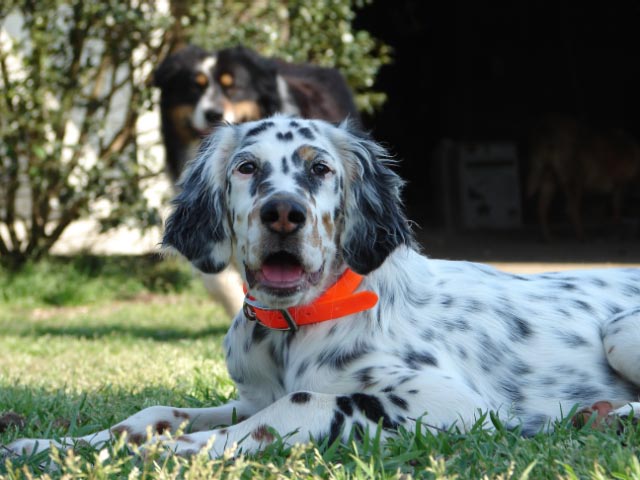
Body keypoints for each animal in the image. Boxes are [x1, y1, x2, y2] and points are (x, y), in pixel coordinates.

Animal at [7, 114, 640, 460]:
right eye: (246, 167)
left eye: (320, 169)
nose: (283, 214)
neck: (294, 325)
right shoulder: (248, 395)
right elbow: (153, 412)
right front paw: (54, 447)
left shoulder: (456, 404)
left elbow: (301, 403)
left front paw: (173, 451)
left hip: (618, 331)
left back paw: (602, 415)